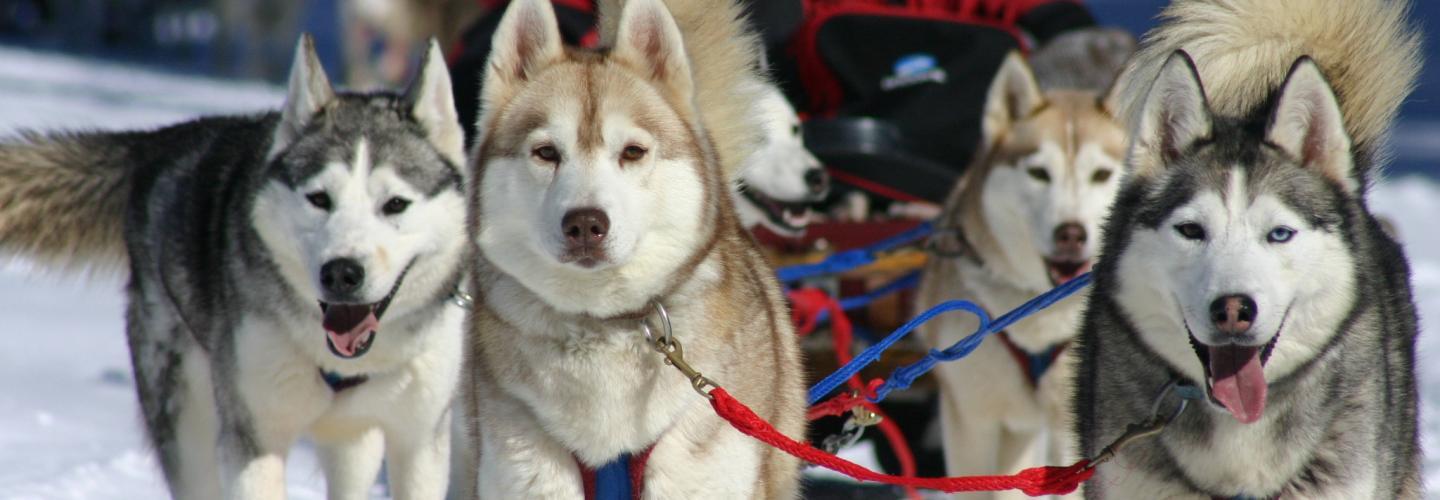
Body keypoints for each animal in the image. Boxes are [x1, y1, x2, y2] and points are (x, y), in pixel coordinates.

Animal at [0, 36, 466, 500]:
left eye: (395, 204)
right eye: (319, 199)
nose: (341, 273)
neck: (344, 363)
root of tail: (161, 144)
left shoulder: (419, 444)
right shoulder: (252, 440)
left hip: (352, 444)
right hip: (188, 423)